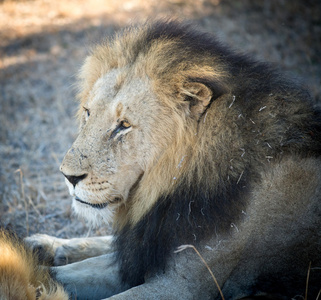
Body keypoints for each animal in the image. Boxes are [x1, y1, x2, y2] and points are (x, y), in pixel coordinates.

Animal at [24, 19, 320, 298]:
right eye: (87, 112)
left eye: (124, 125)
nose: (68, 176)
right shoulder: (143, 256)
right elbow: (57, 274)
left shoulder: (181, 285)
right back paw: (43, 244)